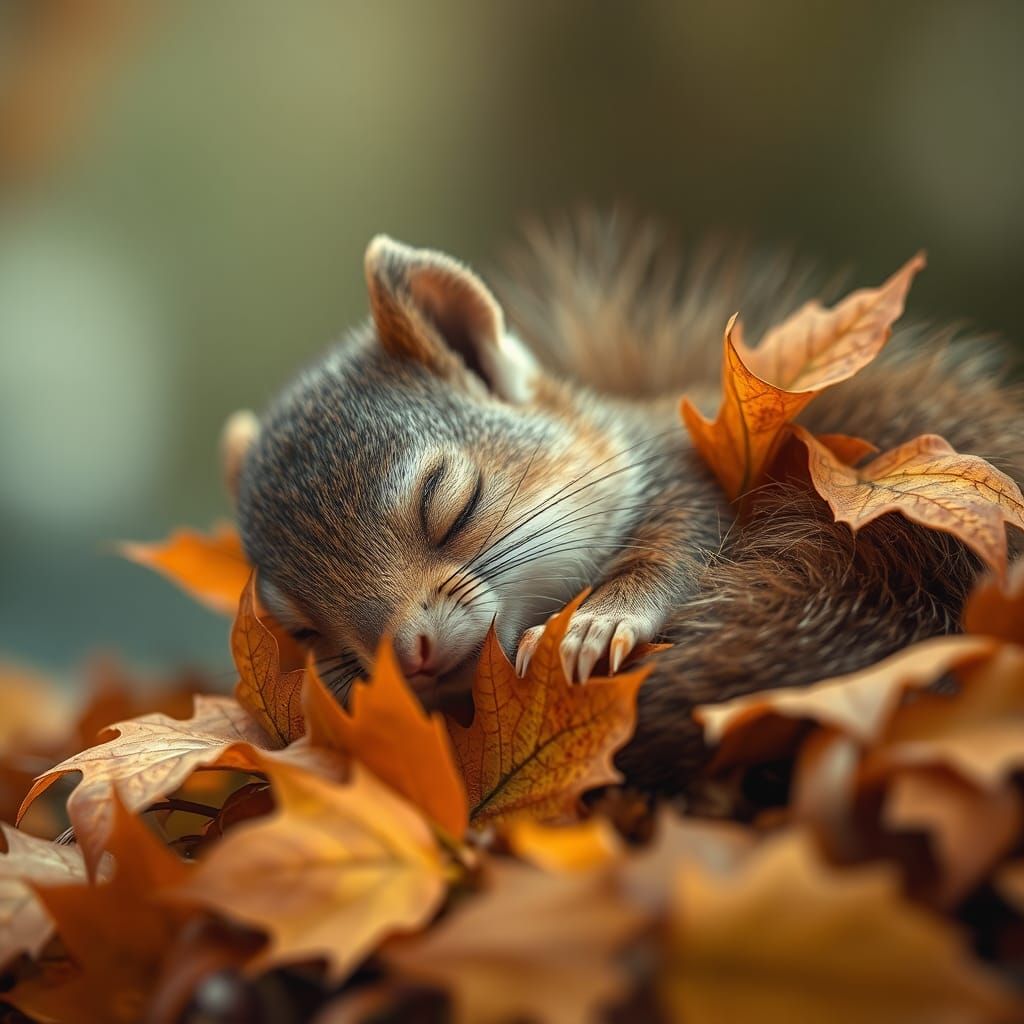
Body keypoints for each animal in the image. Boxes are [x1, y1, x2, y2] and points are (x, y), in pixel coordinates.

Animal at [224, 213, 1024, 794]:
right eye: (302, 630)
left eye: (450, 505)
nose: (407, 660)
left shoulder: (687, 475)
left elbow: (675, 546)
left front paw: (597, 622)